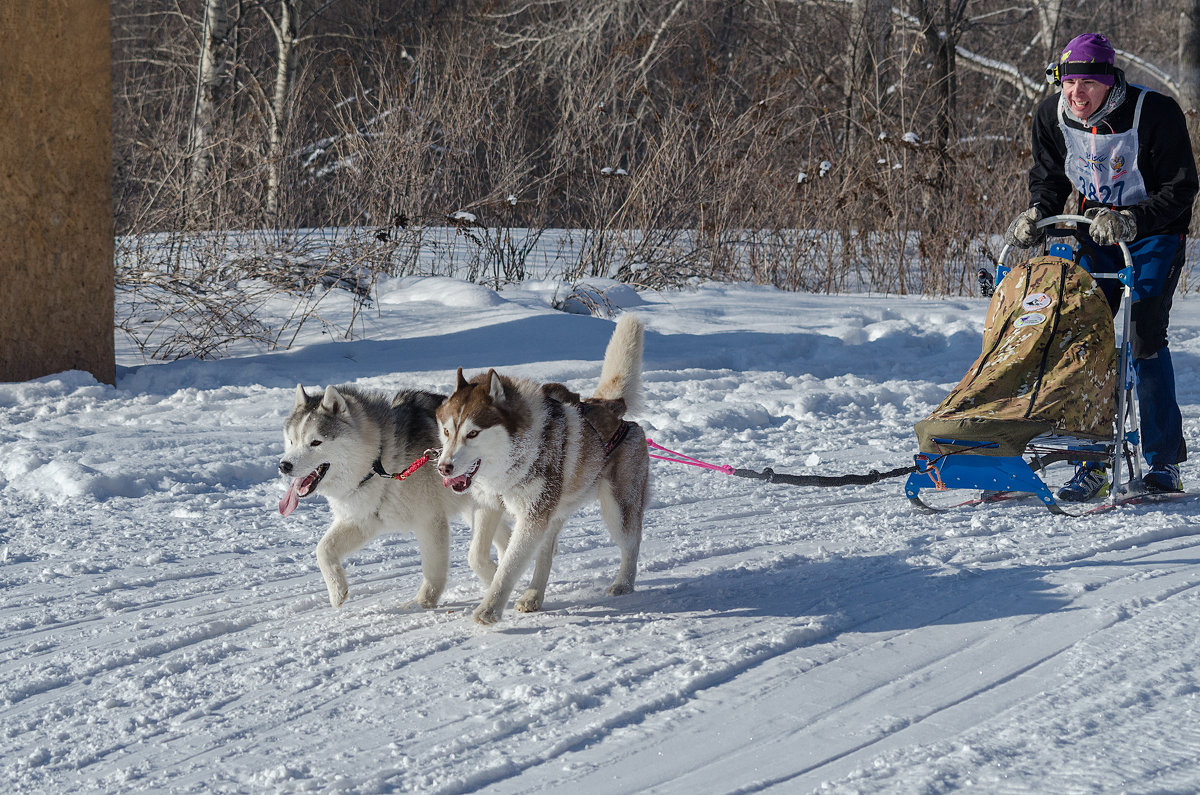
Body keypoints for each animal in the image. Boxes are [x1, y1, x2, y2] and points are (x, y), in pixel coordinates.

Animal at [278, 386, 499, 610]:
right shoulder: (361, 521)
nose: (284, 466)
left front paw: (422, 602)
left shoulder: (430, 521)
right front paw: (337, 591)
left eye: (315, 442)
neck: (379, 460)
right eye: (292, 441)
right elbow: (322, 549)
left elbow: (433, 570)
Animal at [436, 314, 652, 624]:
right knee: (546, 554)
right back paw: (533, 596)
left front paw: (489, 609)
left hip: (617, 510)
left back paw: (623, 583)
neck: (510, 463)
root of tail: (612, 408)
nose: (444, 467)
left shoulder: (532, 516)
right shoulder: (488, 506)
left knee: (631, 544)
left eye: (473, 433)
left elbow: (510, 565)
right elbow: (476, 556)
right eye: (446, 431)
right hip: (555, 514)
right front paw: (492, 578)